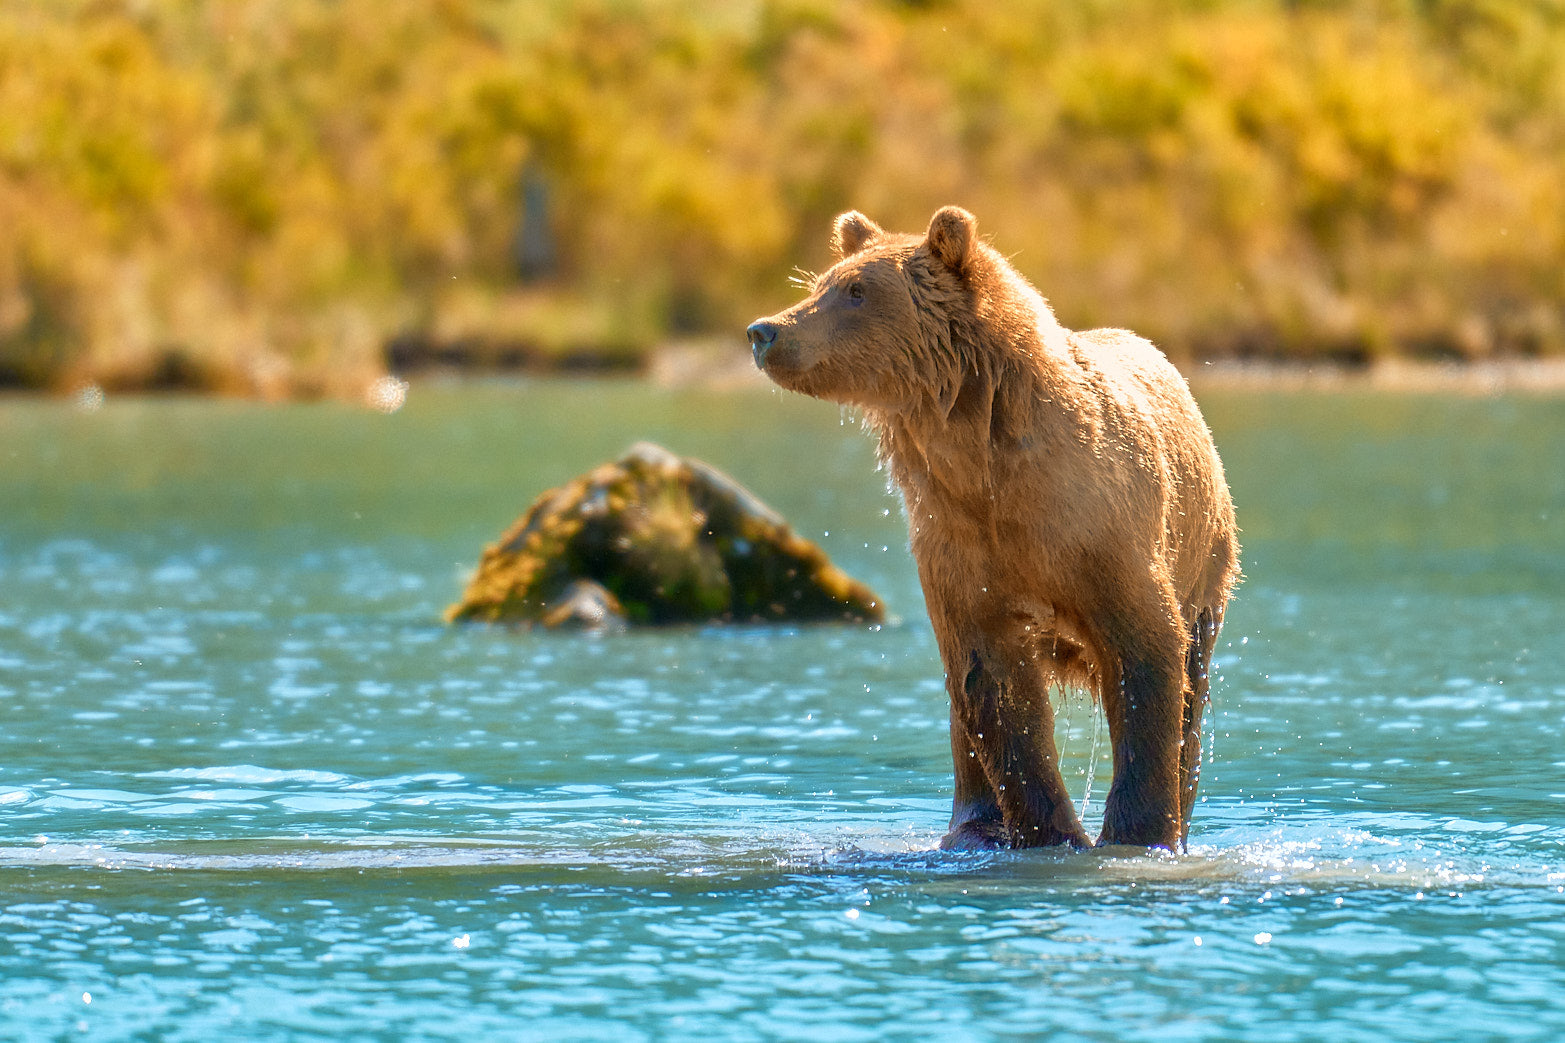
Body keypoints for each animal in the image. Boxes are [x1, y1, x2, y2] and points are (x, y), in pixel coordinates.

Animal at [746, 206, 1239, 851]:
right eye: (820, 285)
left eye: (856, 291)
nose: (765, 331)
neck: (985, 462)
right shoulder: (958, 542)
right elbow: (993, 684)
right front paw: (1050, 831)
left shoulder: (1098, 527)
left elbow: (1147, 654)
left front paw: (1135, 832)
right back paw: (972, 826)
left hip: (1207, 559)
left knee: (1193, 685)